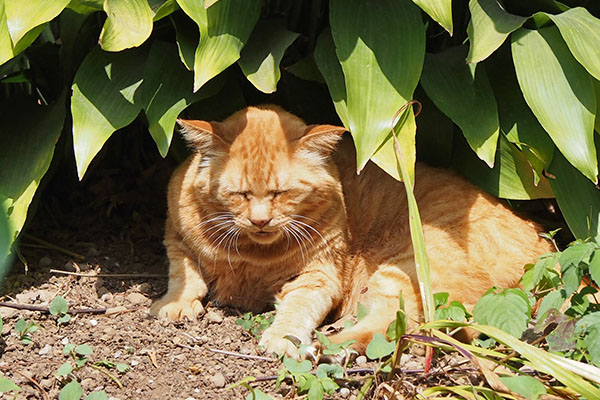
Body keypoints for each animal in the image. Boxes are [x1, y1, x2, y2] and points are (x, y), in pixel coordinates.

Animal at [151, 104, 552, 354]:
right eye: (239, 194)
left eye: (282, 193)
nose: (260, 220)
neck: (254, 256)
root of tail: (546, 248)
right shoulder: (174, 235)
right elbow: (185, 273)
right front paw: (175, 303)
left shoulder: (319, 278)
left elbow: (297, 308)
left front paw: (282, 336)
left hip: (404, 270)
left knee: (399, 326)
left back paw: (325, 345)